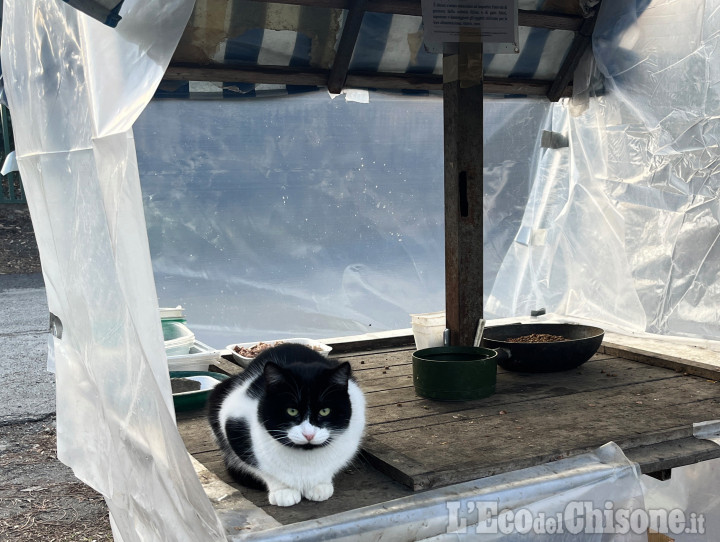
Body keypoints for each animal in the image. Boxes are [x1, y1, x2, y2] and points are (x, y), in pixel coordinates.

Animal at [208, 346, 366, 508]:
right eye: (292, 411)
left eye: (325, 411)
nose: (308, 434)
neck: (305, 457)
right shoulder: (233, 419)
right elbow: (264, 471)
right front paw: (283, 491)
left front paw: (320, 485)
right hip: (219, 393)